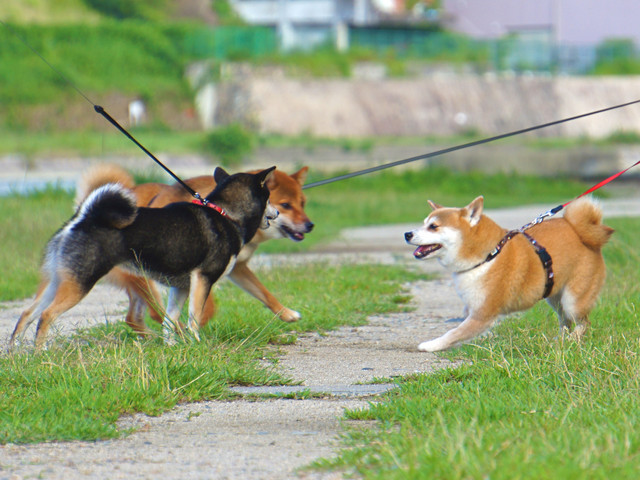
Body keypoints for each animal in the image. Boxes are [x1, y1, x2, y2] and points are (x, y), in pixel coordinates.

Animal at [10, 167, 277, 349]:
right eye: (268, 197)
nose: (275, 213)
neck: (226, 214)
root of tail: (83, 218)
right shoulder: (204, 279)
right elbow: (194, 317)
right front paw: (196, 344)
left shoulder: (180, 287)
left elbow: (170, 321)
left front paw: (172, 347)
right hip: (79, 285)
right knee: (46, 316)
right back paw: (40, 353)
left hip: (57, 282)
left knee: (26, 315)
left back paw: (14, 354)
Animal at [74, 164, 314, 335]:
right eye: (286, 205)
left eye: (303, 203)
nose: (310, 225)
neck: (224, 210)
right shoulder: (201, 271)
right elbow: (204, 306)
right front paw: (196, 329)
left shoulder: (236, 268)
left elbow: (263, 292)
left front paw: (286, 313)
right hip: (142, 275)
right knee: (155, 313)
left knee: (134, 318)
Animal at [405, 196, 614, 352]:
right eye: (423, 224)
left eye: (433, 226)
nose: (407, 234)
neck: (488, 256)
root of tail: (583, 234)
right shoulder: (472, 308)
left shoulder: (482, 314)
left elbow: (453, 333)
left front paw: (432, 344)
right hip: (555, 298)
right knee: (565, 321)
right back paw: (560, 340)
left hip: (572, 300)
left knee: (583, 323)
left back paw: (572, 340)